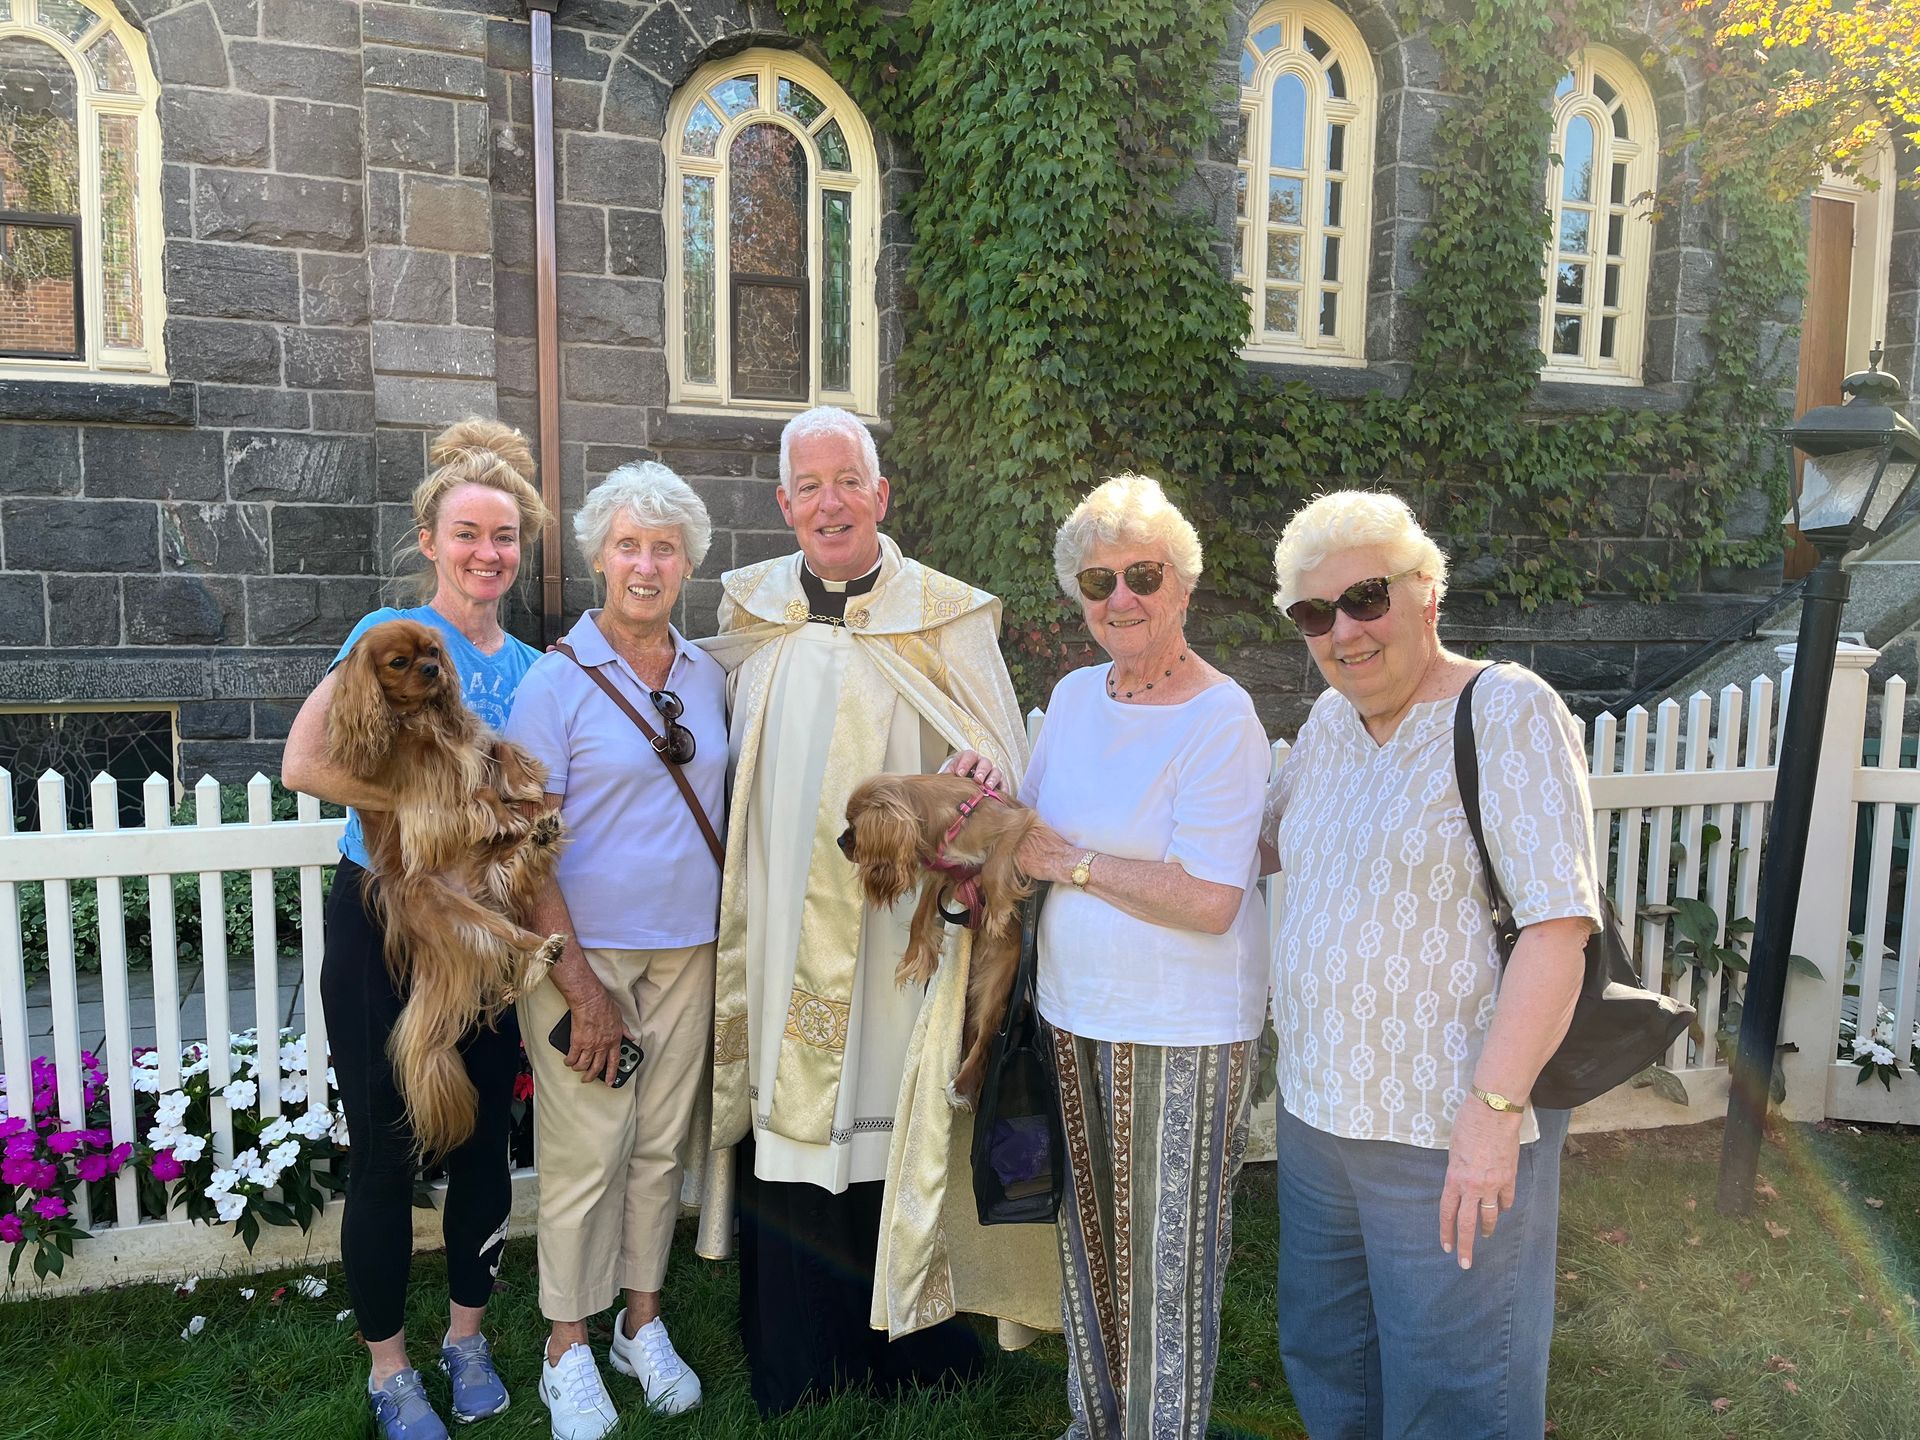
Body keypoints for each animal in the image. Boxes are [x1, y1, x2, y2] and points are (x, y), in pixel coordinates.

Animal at [327, 618, 567, 1157]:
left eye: (433, 652)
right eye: (399, 662)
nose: (432, 670)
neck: (424, 718)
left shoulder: (474, 738)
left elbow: (495, 748)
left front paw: (522, 782)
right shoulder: (418, 784)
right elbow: (462, 789)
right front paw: (496, 807)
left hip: (495, 887)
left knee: (516, 918)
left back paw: (538, 844)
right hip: (460, 915)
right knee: (508, 943)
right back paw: (540, 949)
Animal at [839, 772, 1038, 1102]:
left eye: (853, 826)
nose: (840, 840)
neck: (951, 819)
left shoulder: (1015, 823)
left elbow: (993, 866)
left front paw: (998, 912)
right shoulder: (943, 874)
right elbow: (920, 917)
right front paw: (916, 958)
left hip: (999, 981)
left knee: (987, 1034)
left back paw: (962, 1084)